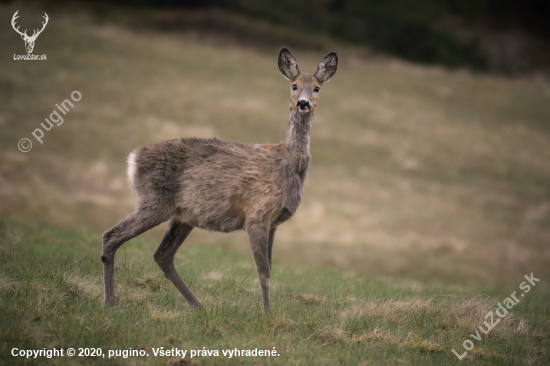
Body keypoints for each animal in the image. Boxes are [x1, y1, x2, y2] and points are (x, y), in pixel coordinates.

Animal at [101, 47, 338, 314]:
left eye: (317, 87)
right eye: (294, 85)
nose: (303, 103)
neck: (289, 163)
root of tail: (134, 160)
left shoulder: (274, 222)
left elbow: (270, 267)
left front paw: (268, 312)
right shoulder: (256, 214)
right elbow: (263, 271)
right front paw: (266, 314)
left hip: (183, 215)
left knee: (162, 254)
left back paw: (198, 305)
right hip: (155, 200)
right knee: (111, 236)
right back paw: (110, 301)